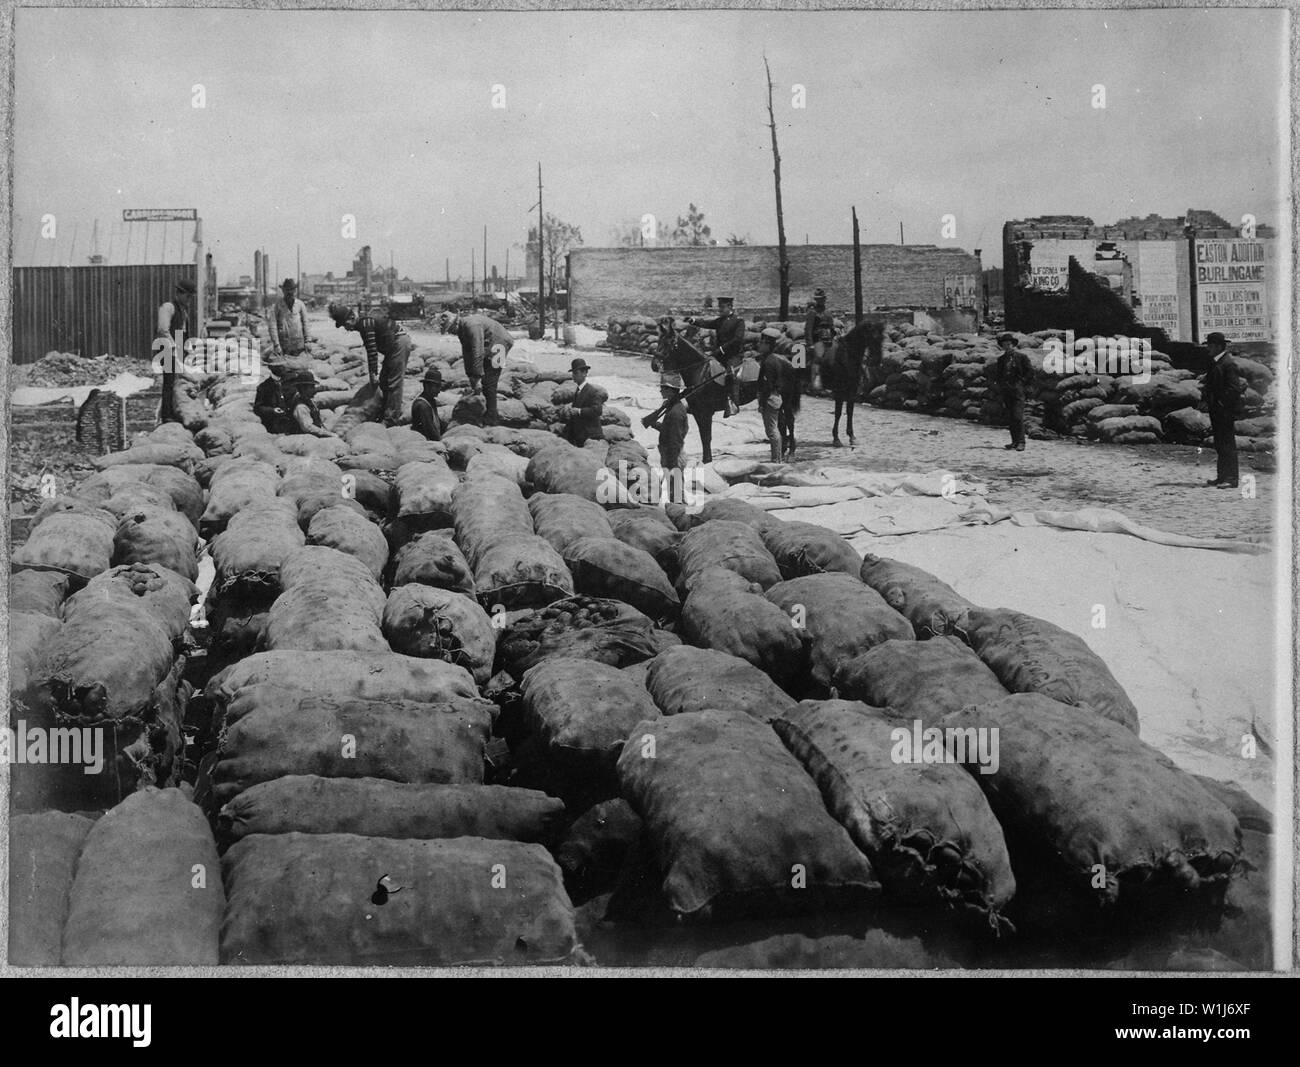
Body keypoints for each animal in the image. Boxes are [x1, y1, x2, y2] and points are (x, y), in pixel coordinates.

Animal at [655, 321, 759, 462]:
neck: (700, 371)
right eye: (659, 340)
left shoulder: (705, 412)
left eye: (668, 342)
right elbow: (703, 436)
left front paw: (707, 460)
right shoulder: (697, 411)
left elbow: (706, 436)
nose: (654, 364)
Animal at [821, 318, 883, 447]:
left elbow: (850, 411)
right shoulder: (839, 390)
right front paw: (836, 439)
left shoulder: (852, 389)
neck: (846, 357)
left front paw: (852, 436)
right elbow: (838, 412)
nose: (877, 360)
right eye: (872, 337)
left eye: (882, 338)